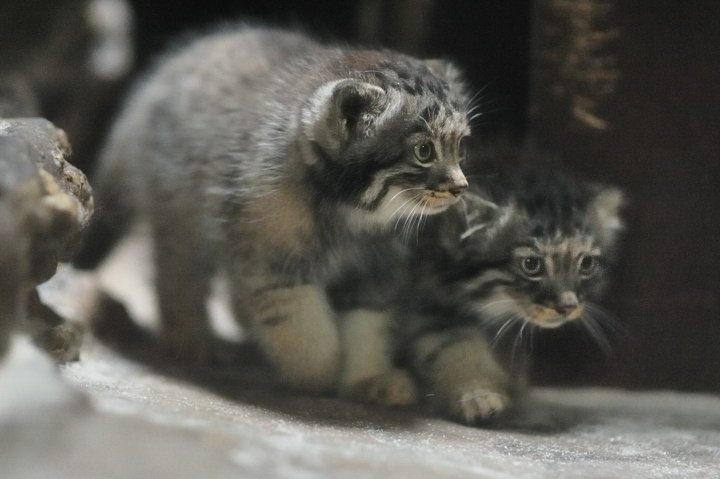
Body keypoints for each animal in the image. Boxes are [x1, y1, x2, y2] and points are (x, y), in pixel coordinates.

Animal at [80, 26, 472, 392]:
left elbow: (368, 325)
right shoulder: (269, 256)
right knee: (177, 273)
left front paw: (368, 378)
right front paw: (319, 372)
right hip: (182, 210)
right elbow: (302, 330)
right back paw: (191, 339)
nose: (460, 188)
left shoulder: (375, 270)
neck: (352, 216)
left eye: (460, 147)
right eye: (424, 151)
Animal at [334, 150, 620, 424]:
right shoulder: (428, 308)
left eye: (586, 264)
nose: (567, 307)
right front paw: (477, 394)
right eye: (531, 264)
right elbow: (458, 348)